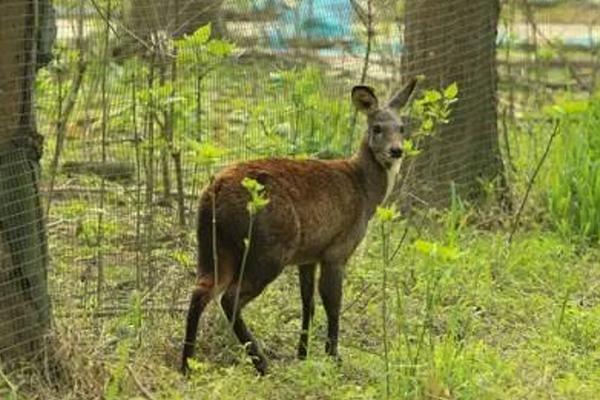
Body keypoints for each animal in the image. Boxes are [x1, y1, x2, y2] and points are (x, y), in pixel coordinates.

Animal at [180, 78, 420, 376]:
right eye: (377, 127)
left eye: (402, 128)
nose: (396, 150)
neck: (364, 192)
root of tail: (214, 191)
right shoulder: (337, 250)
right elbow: (332, 303)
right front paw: (333, 357)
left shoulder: (308, 255)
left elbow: (308, 303)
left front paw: (303, 354)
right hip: (269, 249)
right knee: (229, 297)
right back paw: (262, 364)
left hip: (214, 244)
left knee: (201, 290)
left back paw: (186, 365)